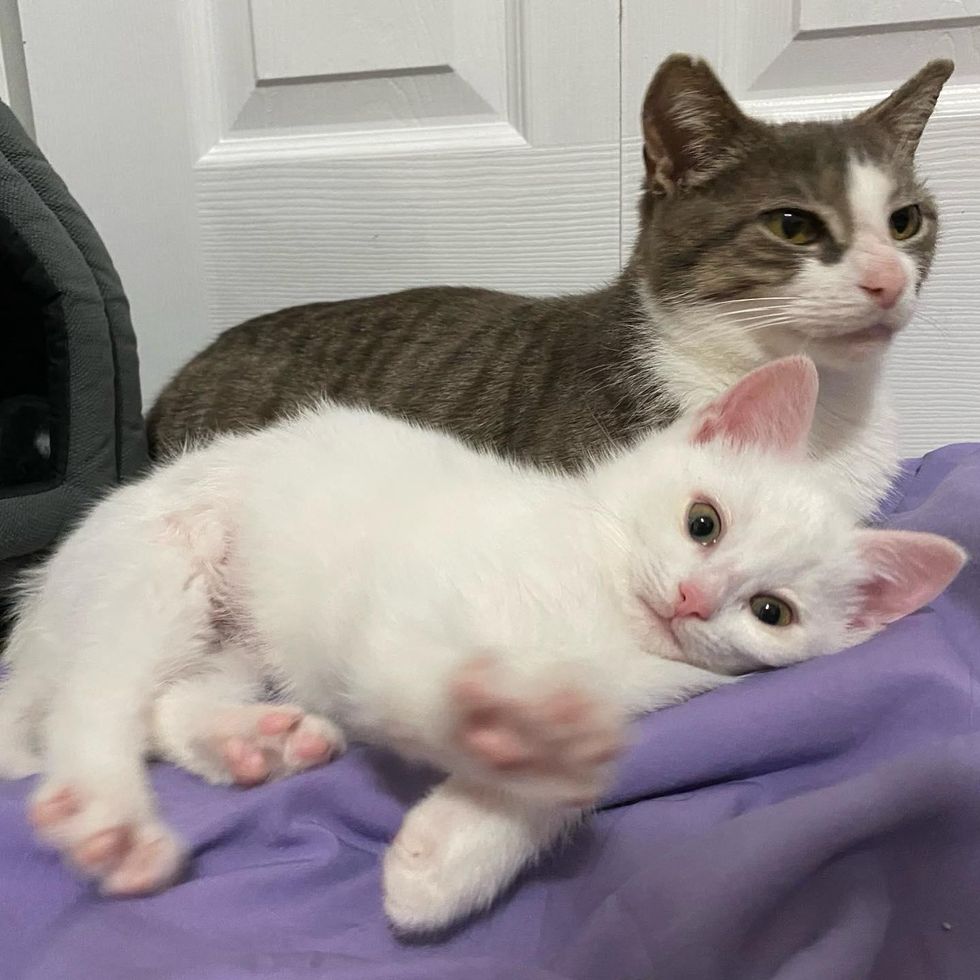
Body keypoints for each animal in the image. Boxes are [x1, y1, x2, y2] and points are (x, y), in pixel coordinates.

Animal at [0, 356, 964, 932]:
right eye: (703, 521)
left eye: (771, 612)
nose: (695, 599)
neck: (596, 615)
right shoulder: (396, 612)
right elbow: (406, 676)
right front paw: (498, 726)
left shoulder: (635, 696)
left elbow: (571, 778)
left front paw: (452, 855)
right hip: (161, 564)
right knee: (92, 705)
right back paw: (111, 819)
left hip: (237, 648)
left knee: (167, 701)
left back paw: (249, 741)